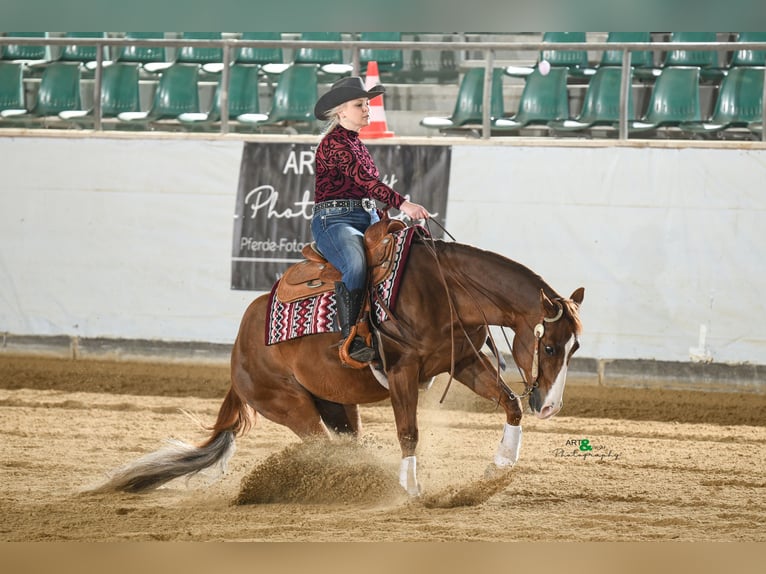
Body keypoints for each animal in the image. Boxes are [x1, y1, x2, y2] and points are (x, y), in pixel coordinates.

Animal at [94, 229, 584, 496]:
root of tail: (238, 351)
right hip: (292, 408)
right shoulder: (402, 370)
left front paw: (500, 466)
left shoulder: (463, 360)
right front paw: (409, 488)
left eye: (575, 348)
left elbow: (510, 404)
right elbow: (409, 432)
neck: (443, 288)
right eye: (550, 346)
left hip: (338, 406)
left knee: (344, 444)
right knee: (322, 448)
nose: (551, 407)